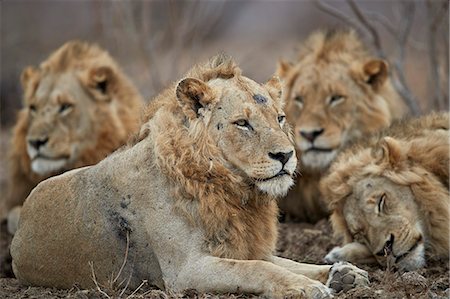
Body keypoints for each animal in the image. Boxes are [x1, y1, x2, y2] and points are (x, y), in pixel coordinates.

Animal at [10, 55, 370, 298]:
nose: (285, 155)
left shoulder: (245, 247)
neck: (233, 192)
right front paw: (305, 287)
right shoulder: (185, 270)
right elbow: (259, 269)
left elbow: (287, 261)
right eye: (242, 123)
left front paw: (343, 274)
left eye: (280, 118)